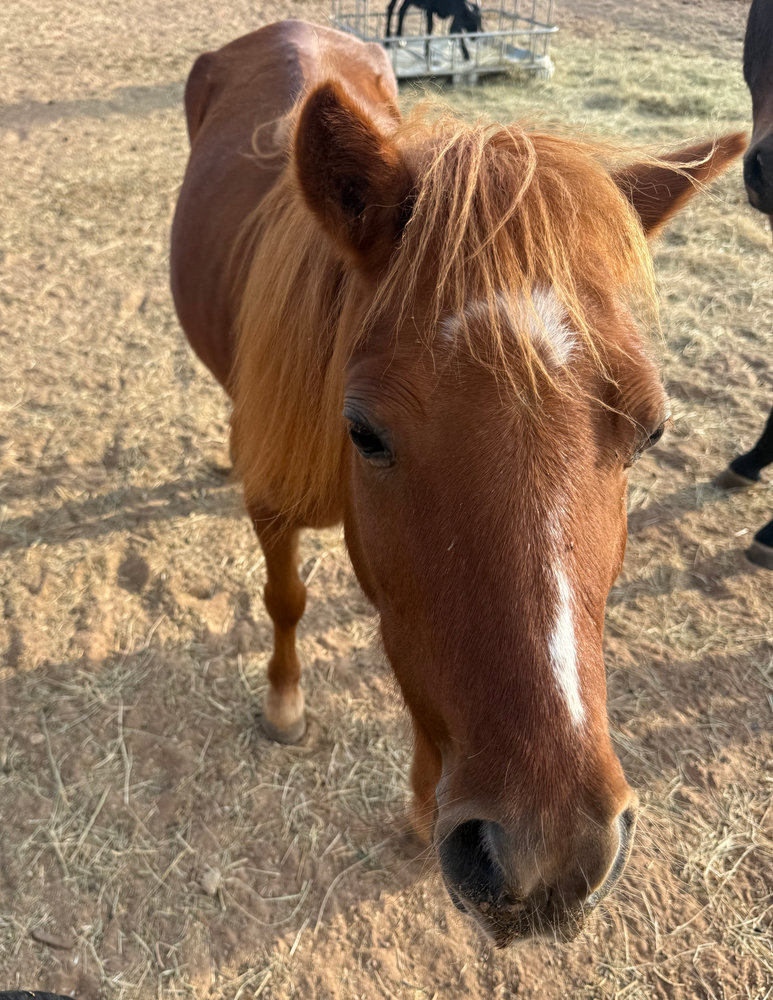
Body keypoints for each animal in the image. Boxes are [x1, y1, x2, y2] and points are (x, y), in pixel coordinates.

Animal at [170, 19, 743, 945]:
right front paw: (285, 706)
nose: (548, 856)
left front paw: (416, 802)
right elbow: (287, 600)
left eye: (652, 430)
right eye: (364, 432)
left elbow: (418, 677)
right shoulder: (276, 508)